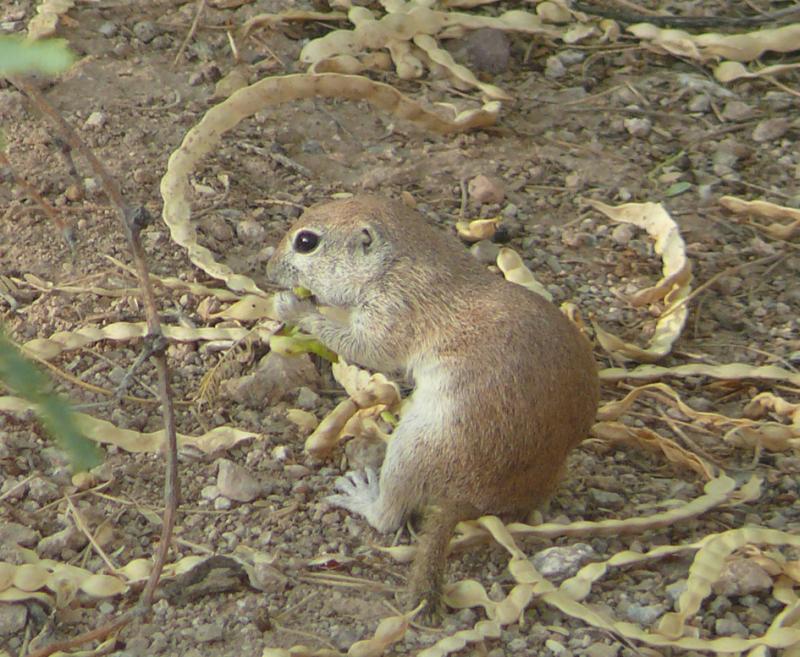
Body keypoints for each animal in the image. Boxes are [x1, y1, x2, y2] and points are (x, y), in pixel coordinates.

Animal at [266, 192, 596, 616]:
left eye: (306, 242)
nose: (269, 269)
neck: (397, 261)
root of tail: (477, 499)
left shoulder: (391, 310)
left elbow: (362, 347)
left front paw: (294, 307)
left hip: (415, 447)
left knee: (389, 517)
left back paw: (362, 495)